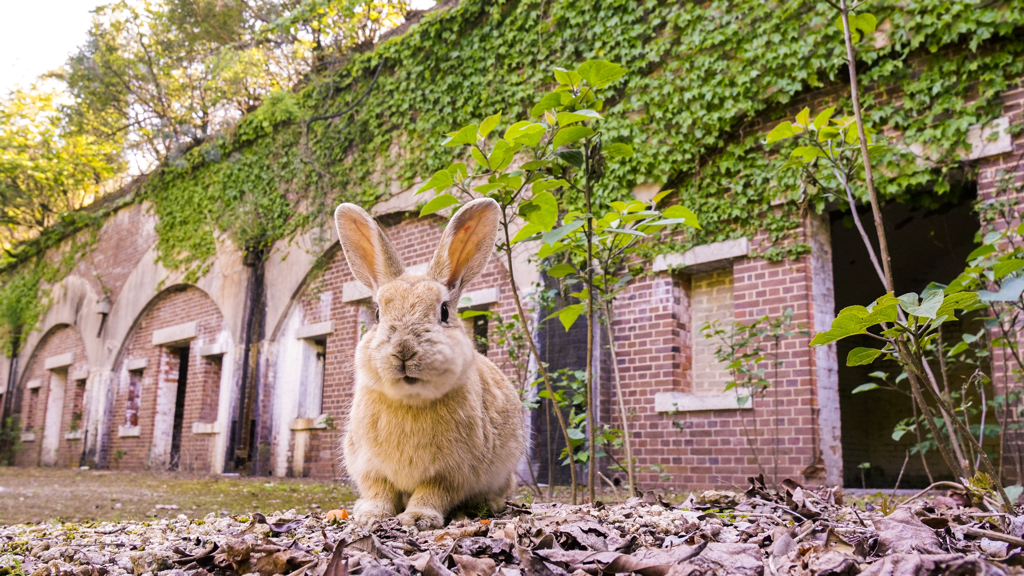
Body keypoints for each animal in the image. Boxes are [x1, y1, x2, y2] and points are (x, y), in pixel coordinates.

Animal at [335, 194, 528, 528]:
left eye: (444, 312)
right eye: (377, 314)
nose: (403, 350)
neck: (410, 400)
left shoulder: (450, 472)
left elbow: (433, 492)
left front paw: (418, 518)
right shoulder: (368, 465)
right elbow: (379, 490)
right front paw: (370, 515)